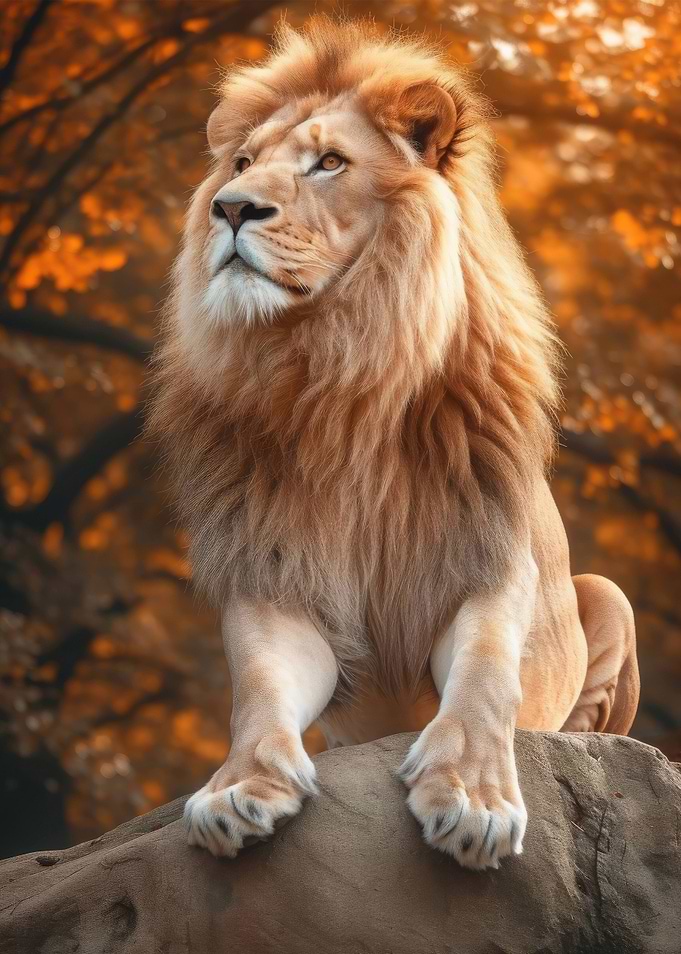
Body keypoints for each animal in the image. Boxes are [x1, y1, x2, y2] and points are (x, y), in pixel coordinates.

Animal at [151, 18, 639, 870]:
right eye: (241, 164)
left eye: (328, 163)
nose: (230, 208)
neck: (343, 374)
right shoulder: (274, 578)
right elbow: (259, 693)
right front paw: (237, 788)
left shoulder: (487, 562)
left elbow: (482, 683)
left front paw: (473, 798)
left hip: (609, 595)